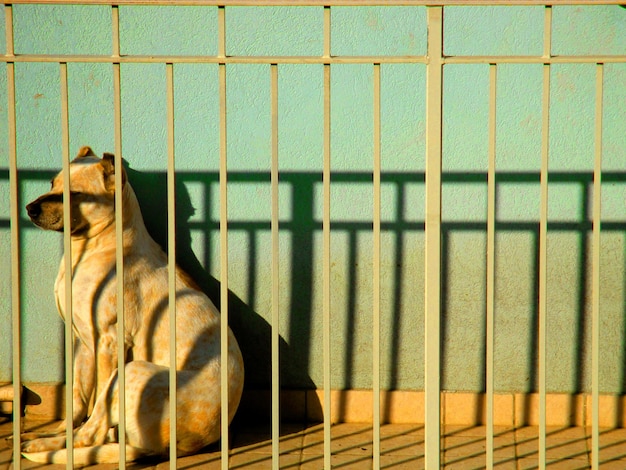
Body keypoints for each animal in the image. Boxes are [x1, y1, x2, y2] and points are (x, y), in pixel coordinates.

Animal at [22, 148, 243, 466]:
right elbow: (76, 398)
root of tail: (168, 446)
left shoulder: (109, 344)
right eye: (52, 183)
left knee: (92, 434)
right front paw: (61, 425)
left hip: (131, 371)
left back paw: (41, 445)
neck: (89, 248)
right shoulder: (83, 343)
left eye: (76, 193)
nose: (29, 208)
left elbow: (93, 407)